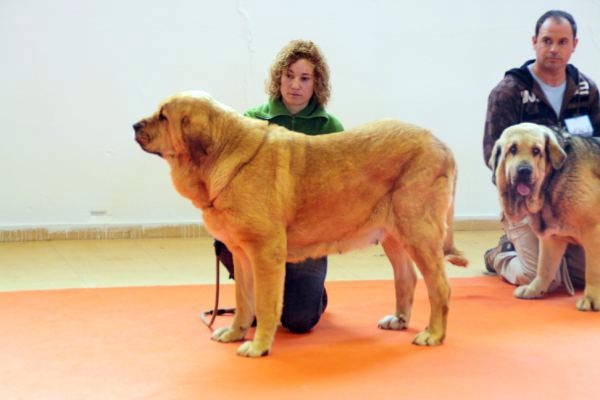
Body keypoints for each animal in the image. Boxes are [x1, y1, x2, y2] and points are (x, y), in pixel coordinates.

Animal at [135, 90, 468, 356]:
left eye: (163, 117)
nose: (134, 125)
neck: (220, 151)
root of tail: (442, 144)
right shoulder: (242, 255)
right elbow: (244, 300)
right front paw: (234, 333)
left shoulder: (265, 253)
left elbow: (266, 305)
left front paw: (259, 347)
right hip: (393, 235)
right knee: (406, 277)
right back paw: (398, 320)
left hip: (418, 231)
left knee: (440, 286)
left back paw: (433, 334)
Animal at [490, 122, 600, 310]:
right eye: (512, 149)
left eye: (536, 151)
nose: (524, 170)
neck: (551, 182)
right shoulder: (551, 237)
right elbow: (544, 268)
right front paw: (534, 290)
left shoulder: (594, 232)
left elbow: (593, 271)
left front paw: (591, 299)